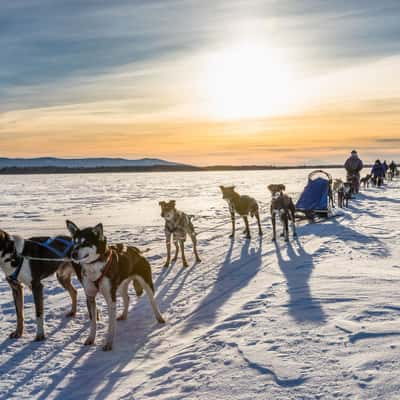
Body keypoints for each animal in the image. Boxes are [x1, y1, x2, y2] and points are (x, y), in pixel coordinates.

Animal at [67, 220, 164, 352]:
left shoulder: (110, 298)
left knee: (152, 300)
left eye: (86, 242)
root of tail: (136, 250)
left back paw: (159, 318)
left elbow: (111, 324)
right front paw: (91, 338)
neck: (94, 266)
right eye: (75, 242)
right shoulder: (90, 297)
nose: (73, 254)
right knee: (127, 298)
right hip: (121, 286)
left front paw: (109, 343)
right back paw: (123, 315)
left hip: (146, 284)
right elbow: (93, 322)